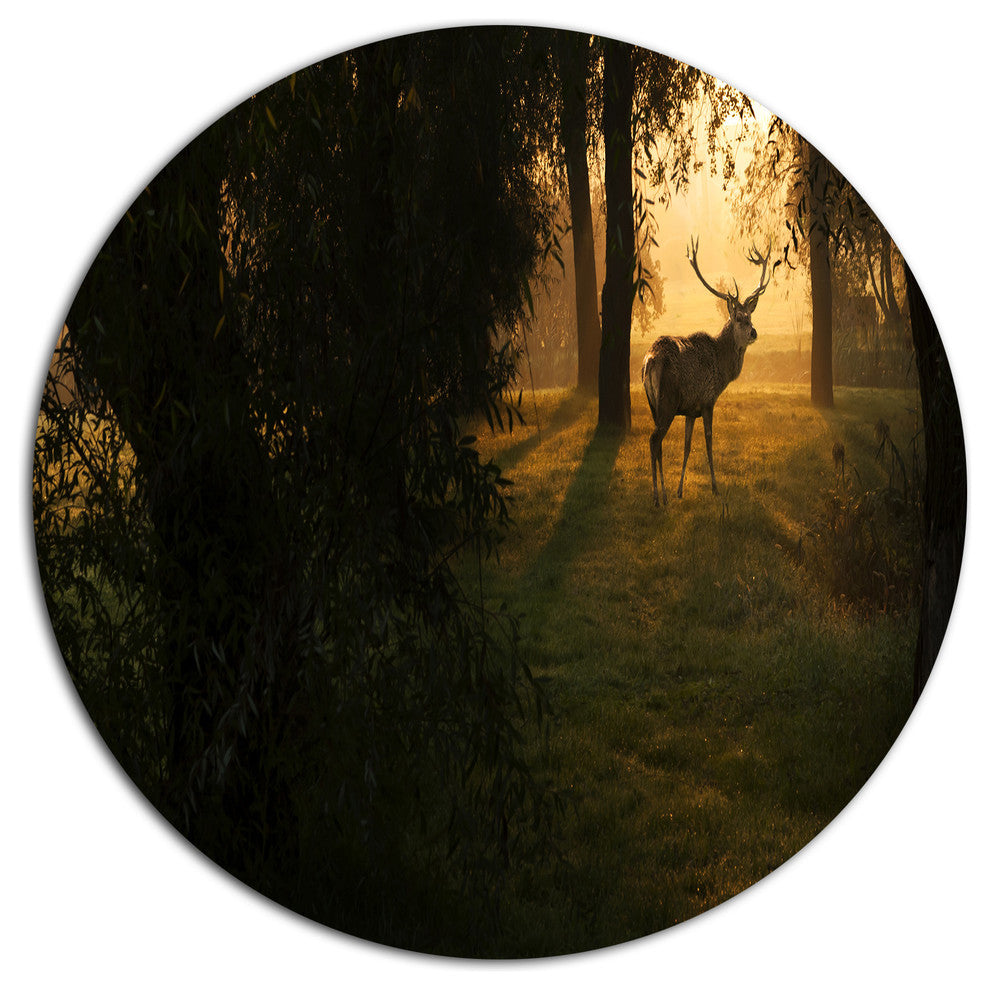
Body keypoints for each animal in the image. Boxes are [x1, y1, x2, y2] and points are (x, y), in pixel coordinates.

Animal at [642, 238, 771, 506]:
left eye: (751, 316)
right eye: (739, 318)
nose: (754, 332)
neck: (723, 368)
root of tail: (650, 360)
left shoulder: (691, 410)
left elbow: (687, 446)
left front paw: (680, 490)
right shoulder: (708, 400)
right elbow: (710, 443)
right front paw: (715, 487)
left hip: (653, 404)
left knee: (658, 443)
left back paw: (665, 494)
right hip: (667, 401)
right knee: (654, 440)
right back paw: (658, 497)